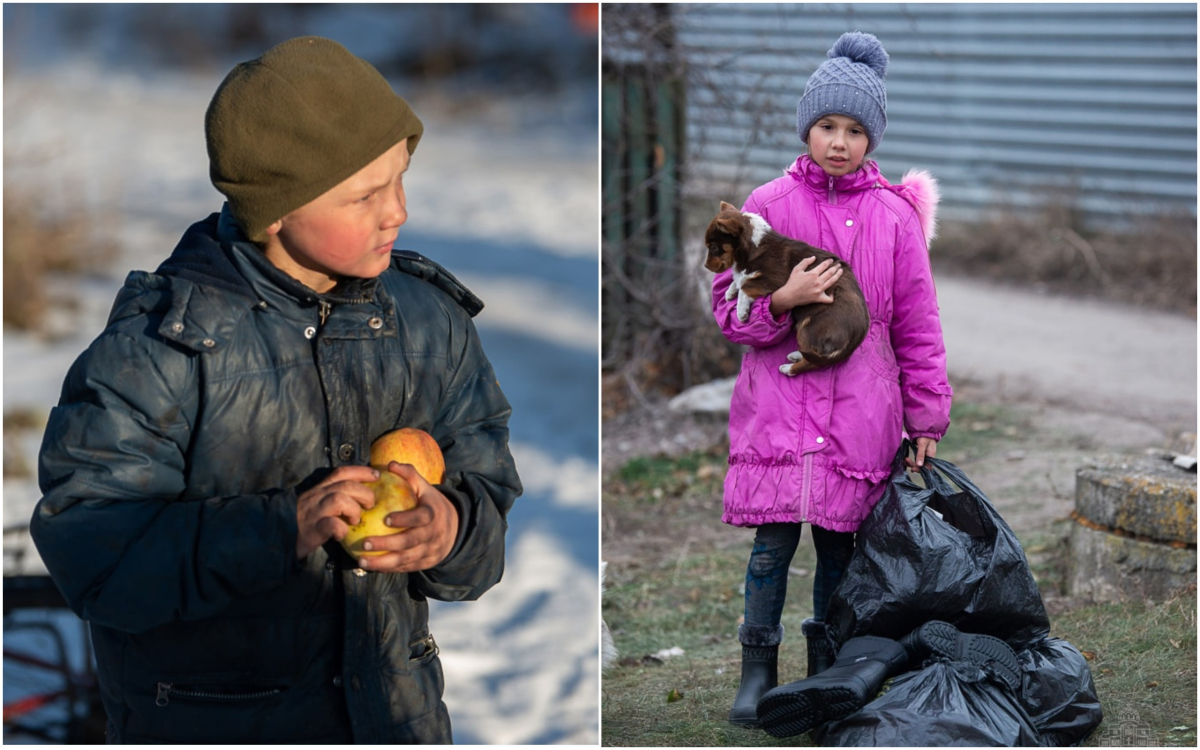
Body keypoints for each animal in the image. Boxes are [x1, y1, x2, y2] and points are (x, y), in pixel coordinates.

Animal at [700, 200, 873, 374]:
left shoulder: (776, 279)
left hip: (810, 325)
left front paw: (741, 311)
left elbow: (747, 284)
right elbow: (741, 278)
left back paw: (788, 368)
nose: (706, 266)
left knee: (814, 361)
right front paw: (730, 292)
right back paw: (797, 355)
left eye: (714, 248)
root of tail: (857, 338)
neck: (754, 244)